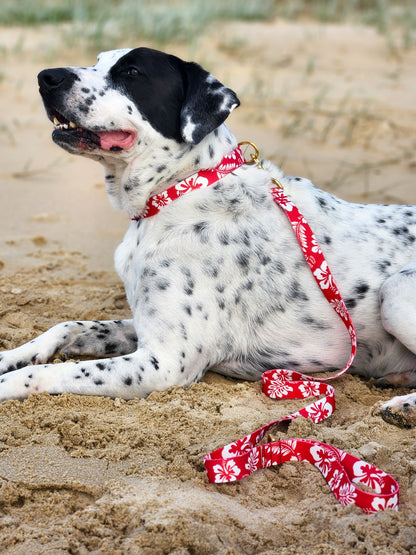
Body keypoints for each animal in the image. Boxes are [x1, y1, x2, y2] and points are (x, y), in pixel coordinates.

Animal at [0, 48, 414, 430]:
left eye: (132, 72)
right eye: (97, 61)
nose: (47, 77)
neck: (181, 189)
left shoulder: (163, 363)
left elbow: (47, 372)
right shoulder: (144, 327)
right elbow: (65, 327)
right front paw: (8, 357)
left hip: (395, 290)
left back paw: (404, 406)